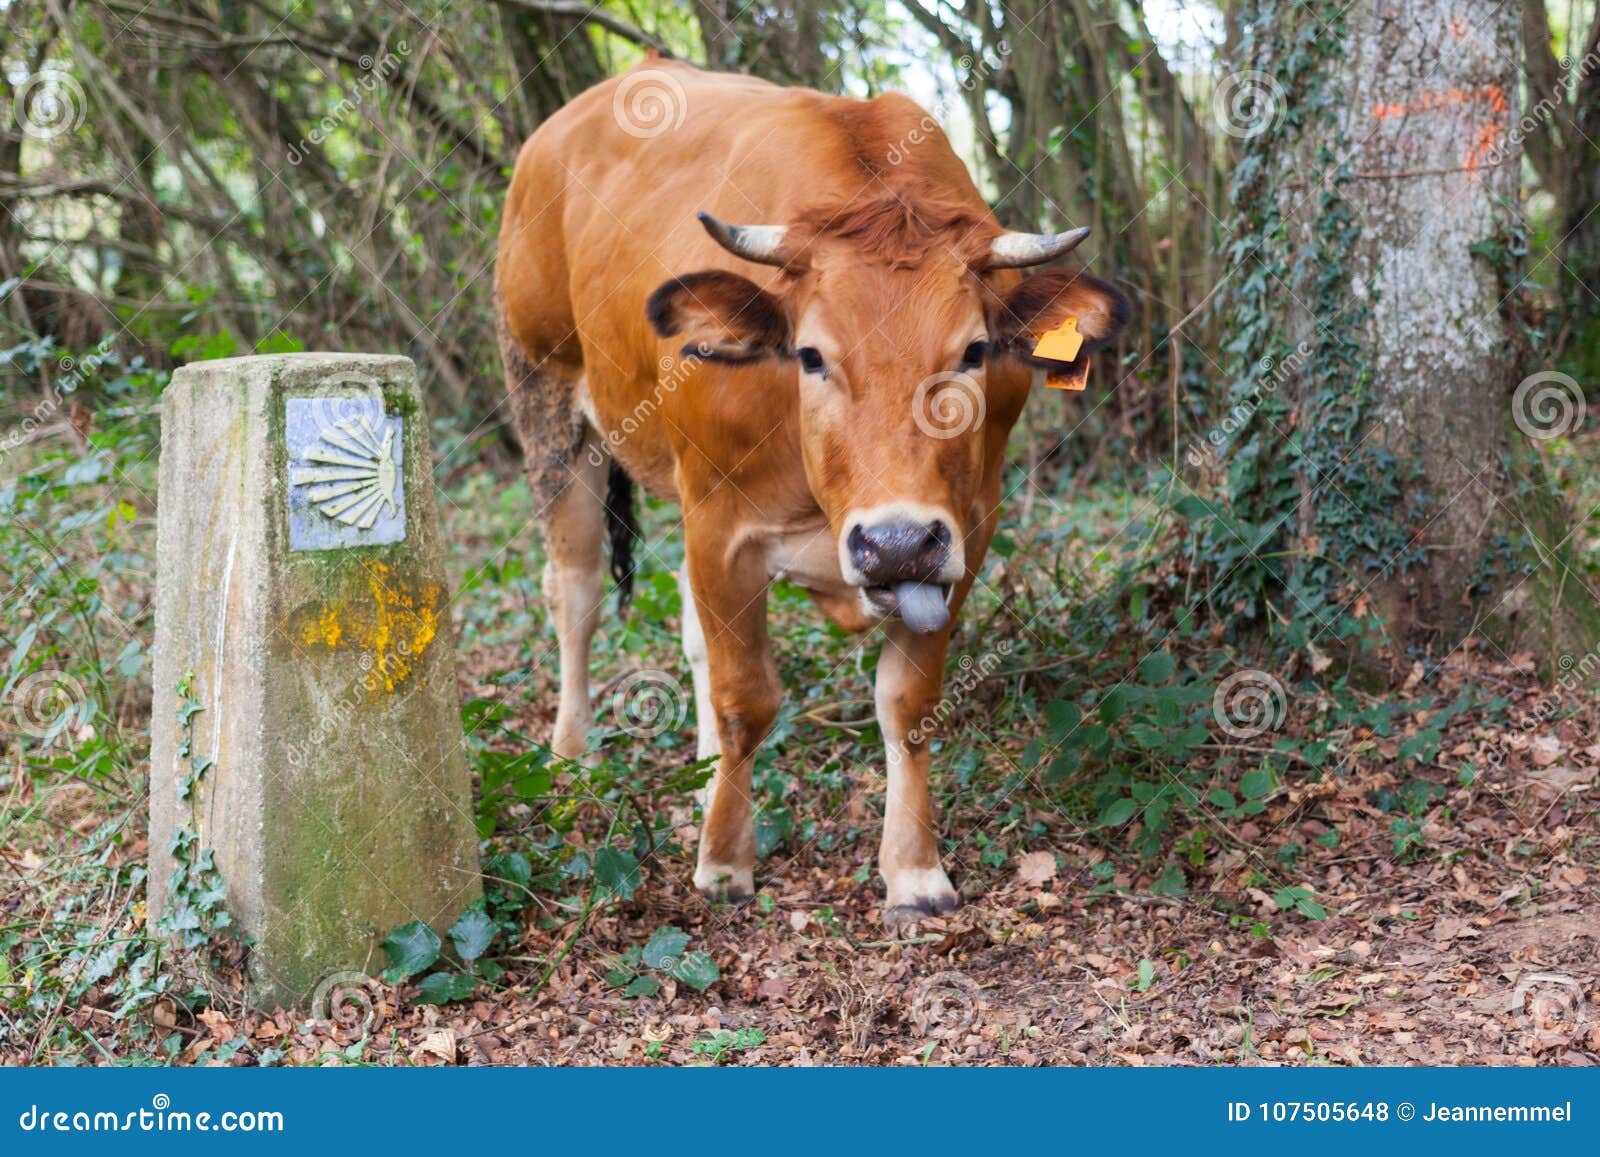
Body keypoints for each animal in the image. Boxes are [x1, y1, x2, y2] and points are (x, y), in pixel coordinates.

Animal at [492, 58, 1132, 921]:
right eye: (811, 354)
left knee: (689, 631)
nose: (895, 542)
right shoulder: (722, 527)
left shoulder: (965, 530)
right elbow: (746, 699)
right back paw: (570, 757)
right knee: (577, 591)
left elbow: (907, 702)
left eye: (972, 351)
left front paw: (914, 868)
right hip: (546, 394)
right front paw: (725, 859)